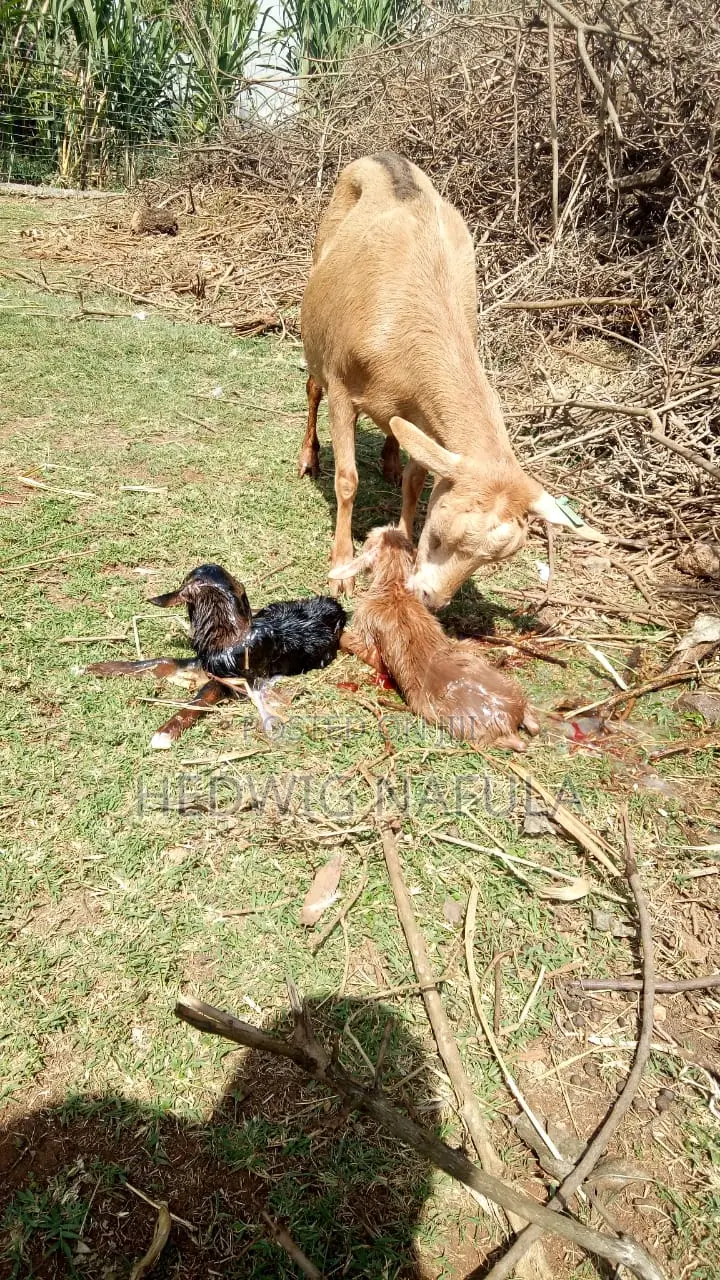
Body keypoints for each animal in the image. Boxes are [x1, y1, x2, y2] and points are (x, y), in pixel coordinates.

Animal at [300, 152, 598, 609]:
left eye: (491, 559)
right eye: (442, 535)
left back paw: (389, 460)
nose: (431, 599)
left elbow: (416, 480)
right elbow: (347, 480)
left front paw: (401, 541)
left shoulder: (426, 417)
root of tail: (384, 157)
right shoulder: (342, 387)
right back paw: (309, 457)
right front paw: (341, 568)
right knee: (312, 389)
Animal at [332, 526, 539, 752]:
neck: (394, 587)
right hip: (506, 683)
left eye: (371, 538)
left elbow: (355, 644)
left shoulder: (369, 631)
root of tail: (508, 716)